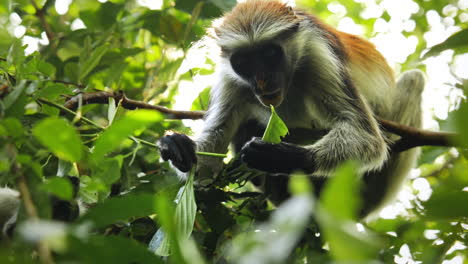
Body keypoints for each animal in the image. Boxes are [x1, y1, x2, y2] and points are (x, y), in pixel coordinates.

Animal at [158, 0, 424, 217]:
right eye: (243, 62)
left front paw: (285, 156)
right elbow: (210, 157)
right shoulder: (230, 78)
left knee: (414, 78)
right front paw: (177, 146)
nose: (262, 81)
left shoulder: (318, 55)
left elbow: (366, 136)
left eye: (270, 53)